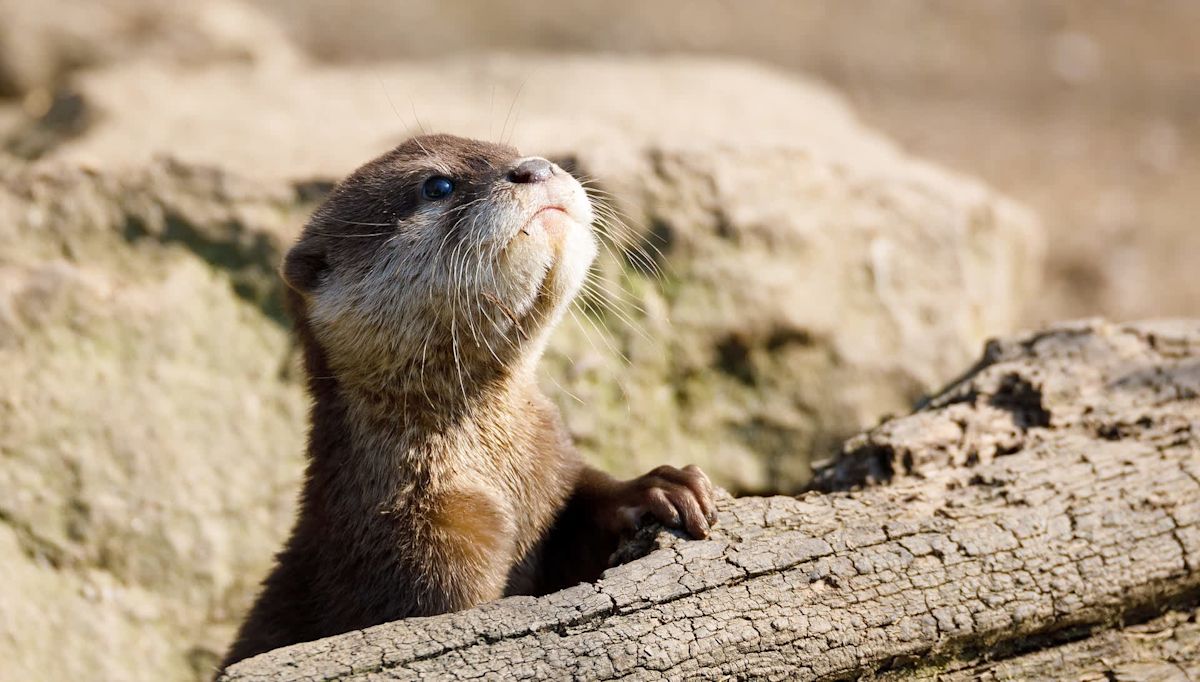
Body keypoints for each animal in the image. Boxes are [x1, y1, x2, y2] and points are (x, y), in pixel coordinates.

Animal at [221, 135, 716, 668]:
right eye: (438, 185)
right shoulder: (419, 549)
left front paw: (662, 486)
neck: (496, 477)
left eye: (513, 149)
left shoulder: (553, 464)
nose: (536, 168)